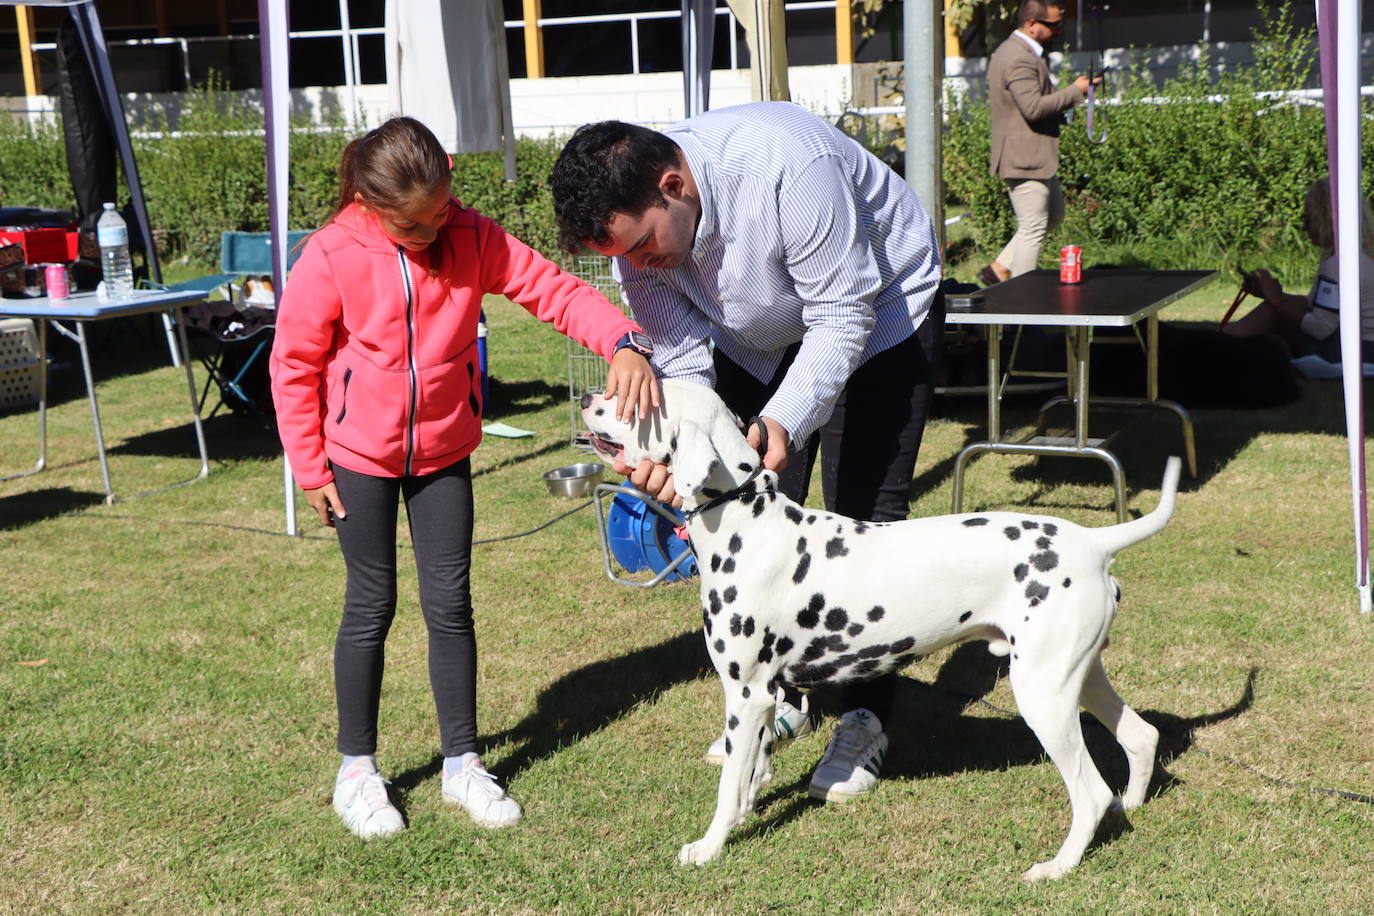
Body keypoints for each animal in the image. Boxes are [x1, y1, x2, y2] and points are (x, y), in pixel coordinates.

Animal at [579, 379, 1181, 878]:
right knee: (1141, 737)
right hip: (1077, 678)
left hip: (1044, 698)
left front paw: (709, 847)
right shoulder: (766, 696)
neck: (744, 520)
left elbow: (729, 785)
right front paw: (748, 811)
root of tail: (1093, 542)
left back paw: (1058, 866)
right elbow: (752, 772)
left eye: (635, 402)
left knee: (1090, 793)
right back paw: (1129, 807)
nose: (586, 396)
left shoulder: (745, 695)